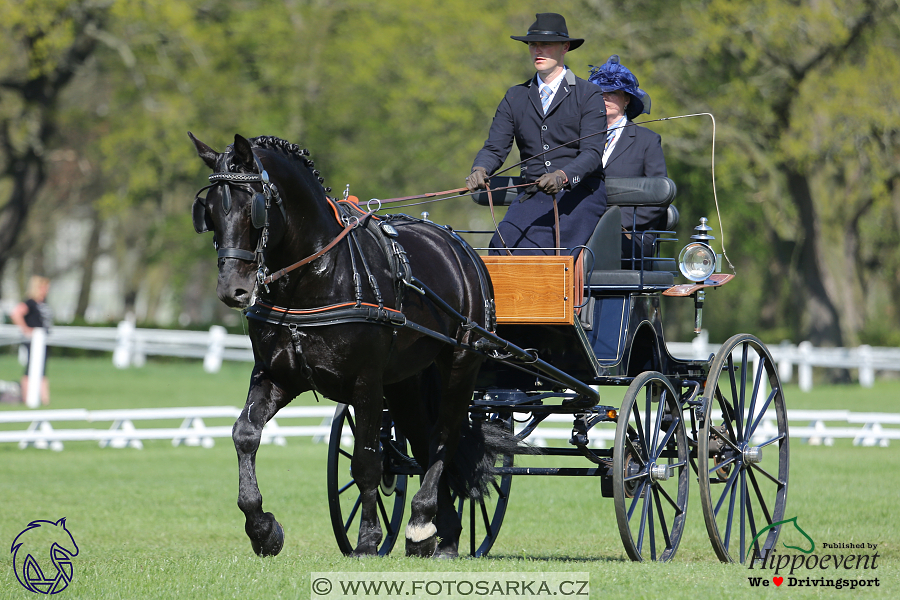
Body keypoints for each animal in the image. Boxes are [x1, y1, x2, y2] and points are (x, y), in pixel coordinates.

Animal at [188, 135, 506, 556]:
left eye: (251, 208)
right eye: (208, 211)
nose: (232, 290)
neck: (314, 275)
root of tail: (460, 246)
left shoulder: (366, 382)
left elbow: (366, 462)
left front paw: (368, 539)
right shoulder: (276, 375)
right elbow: (245, 434)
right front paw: (262, 529)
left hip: (460, 361)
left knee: (444, 437)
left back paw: (425, 520)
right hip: (404, 381)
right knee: (423, 438)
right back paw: (440, 531)